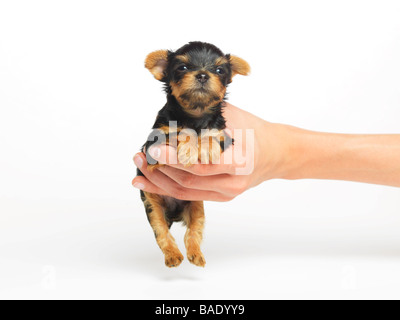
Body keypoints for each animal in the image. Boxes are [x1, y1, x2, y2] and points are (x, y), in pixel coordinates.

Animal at [138, 42, 250, 268]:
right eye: (182, 67)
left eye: (219, 70)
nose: (203, 75)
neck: (195, 116)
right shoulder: (152, 146)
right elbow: (179, 133)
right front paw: (190, 148)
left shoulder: (224, 136)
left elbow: (211, 136)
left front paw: (204, 147)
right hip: (152, 204)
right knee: (162, 232)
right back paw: (173, 256)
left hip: (196, 205)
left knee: (193, 233)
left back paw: (195, 255)